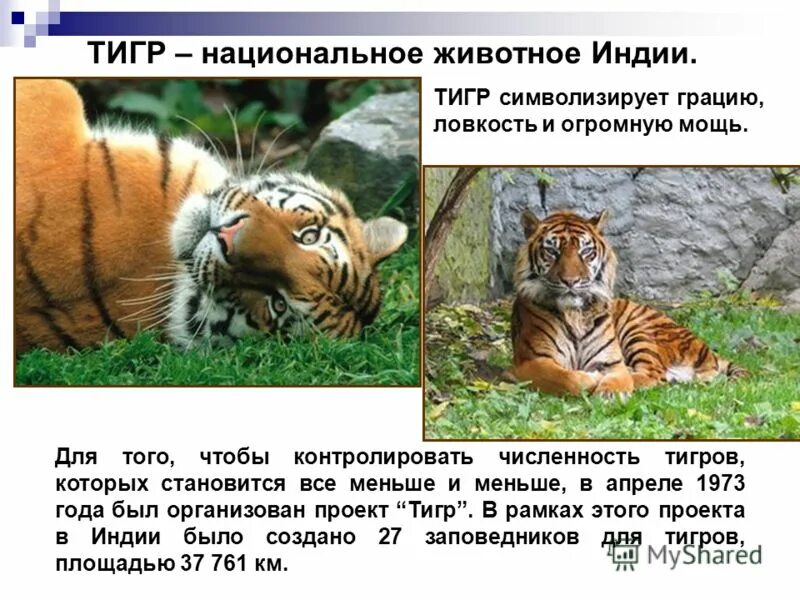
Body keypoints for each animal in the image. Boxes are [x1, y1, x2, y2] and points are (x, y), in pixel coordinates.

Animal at [510, 209, 747, 396]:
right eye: (552, 251)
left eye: (586, 252)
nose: (571, 281)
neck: (575, 313)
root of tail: (709, 351)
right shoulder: (530, 362)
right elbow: (568, 378)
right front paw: (591, 378)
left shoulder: (611, 361)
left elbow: (618, 377)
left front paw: (610, 392)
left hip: (639, 329)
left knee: (653, 373)